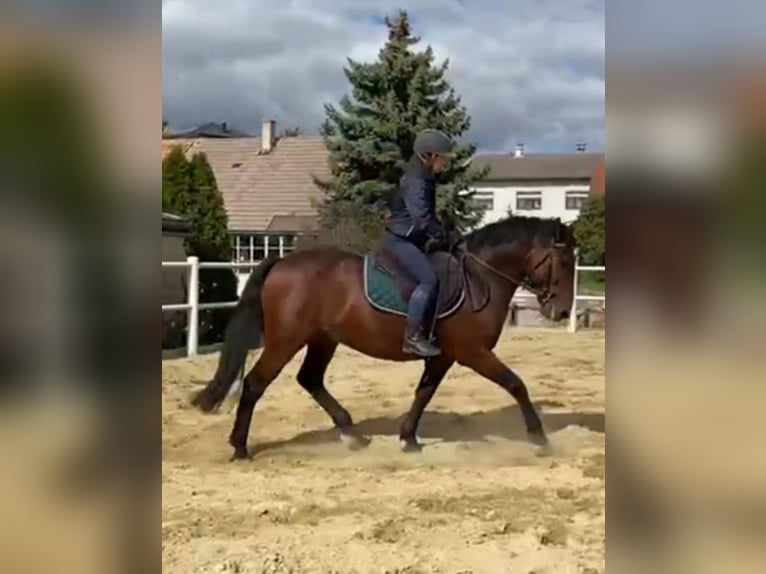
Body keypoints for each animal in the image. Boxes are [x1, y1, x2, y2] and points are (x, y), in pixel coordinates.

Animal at [192, 217, 576, 464]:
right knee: (255, 383)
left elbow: (424, 392)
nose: (561, 311)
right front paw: (538, 437)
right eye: (563, 260)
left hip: (322, 340)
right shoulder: (472, 352)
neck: (479, 277)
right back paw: (240, 448)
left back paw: (351, 433)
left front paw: (408, 438)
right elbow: (515, 384)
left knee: (310, 379)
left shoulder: (444, 355)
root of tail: (282, 263)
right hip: (285, 340)